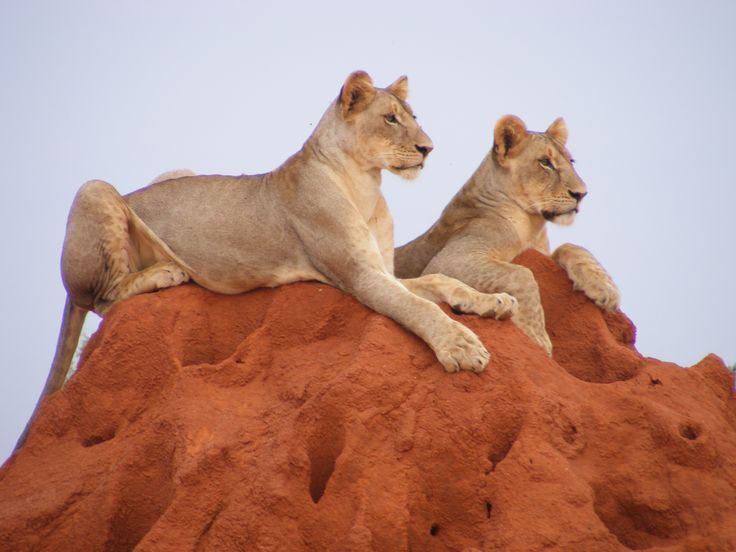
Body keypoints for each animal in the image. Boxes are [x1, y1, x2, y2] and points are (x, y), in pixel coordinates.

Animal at [16, 71, 517, 450]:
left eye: (414, 118)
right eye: (390, 119)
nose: (428, 149)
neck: (367, 184)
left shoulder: (380, 270)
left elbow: (441, 283)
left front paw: (493, 303)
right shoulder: (357, 276)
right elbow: (419, 306)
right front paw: (463, 348)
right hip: (95, 190)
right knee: (102, 298)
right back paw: (166, 272)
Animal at [394, 115, 619, 354]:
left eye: (571, 161)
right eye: (545, 162)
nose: (581, 194)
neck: (532, 225)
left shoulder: (541, 252)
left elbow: (571, 246)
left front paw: (605, 290)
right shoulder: (447, 260)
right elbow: (523, 274)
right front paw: (536, 338)